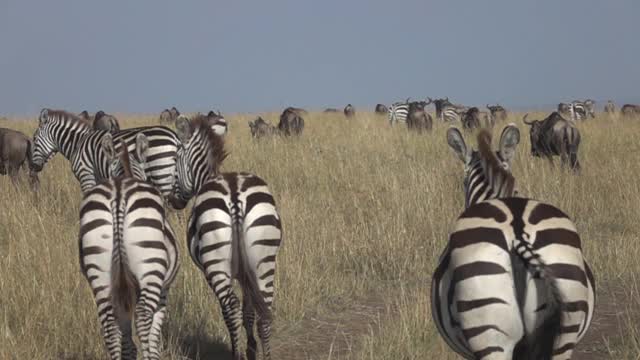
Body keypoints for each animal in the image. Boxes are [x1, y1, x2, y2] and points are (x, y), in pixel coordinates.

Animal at [30, 109, 180, 197]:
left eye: (34, 139)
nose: (33, 167)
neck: (77, 142)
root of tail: (175, 137)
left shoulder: (86, 174)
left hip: (161, 174)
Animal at [80, 133, 181, 360]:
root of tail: (118, 193)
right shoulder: (164, 290)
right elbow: (153, 334)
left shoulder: (122, 293)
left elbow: (126, 338)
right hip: (150, 268)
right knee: (143, 318)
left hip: (99, 272)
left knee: (109, 326)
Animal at [171, 115, 282, 360]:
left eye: (175, 159)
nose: (174, 202)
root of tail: (234, 193)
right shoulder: (245, 272)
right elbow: (249, 310)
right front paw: (251, 349)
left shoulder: (214, 273)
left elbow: (233, 310)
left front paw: (245, 349)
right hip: (263, 258)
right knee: (265, 311)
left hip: (216, 263)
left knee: (230, 308)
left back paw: (235, 354)